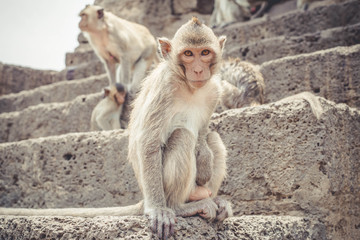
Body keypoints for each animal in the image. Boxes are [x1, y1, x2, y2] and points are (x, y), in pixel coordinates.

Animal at [0, 17, 232, 240]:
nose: (198, 69)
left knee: (214, 138)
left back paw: (214, 199)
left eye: (204, 53)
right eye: (188, 54)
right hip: (162, 186)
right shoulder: (164, 87)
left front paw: (204, 158)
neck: (189, 86)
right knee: (182, 136)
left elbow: (204, 130)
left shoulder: (214, 89)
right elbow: (148, 143)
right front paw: (157, 210)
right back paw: (179, 207)